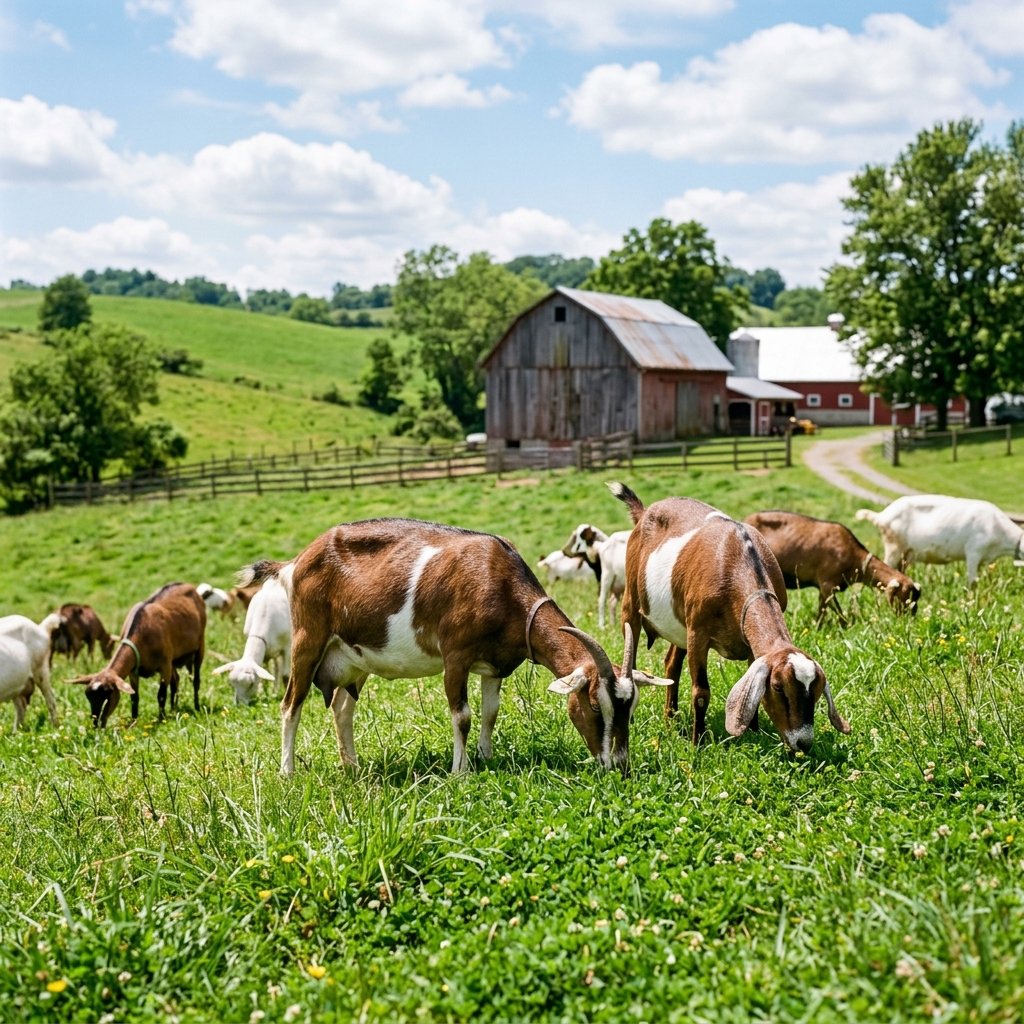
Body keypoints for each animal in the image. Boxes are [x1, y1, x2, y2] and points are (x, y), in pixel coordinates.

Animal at [69, 583, 206, 726]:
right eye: (88, 697)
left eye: (109, 695)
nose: (97, 724)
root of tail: (186, 585)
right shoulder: (134, 670)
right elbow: (134, 697)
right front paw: (133, 721)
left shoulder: (164, 665)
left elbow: (161, 695)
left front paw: (161, 719)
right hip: (173, 659)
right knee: (176, 681)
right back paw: (174, 709)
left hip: (199, 645)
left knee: (196, 680)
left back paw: (196, 706)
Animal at [241, 517, 671, 776]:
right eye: (595, 706)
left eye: (630, 707)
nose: (618, 765)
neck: (501, 584)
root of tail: (294, 562)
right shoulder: (455, 656)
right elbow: (461, 715)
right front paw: (460, 771)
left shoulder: (494, 664)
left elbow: (490, 712)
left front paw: (486, 756)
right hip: (308, 641)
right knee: (291, 704)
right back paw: (287, 771)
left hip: (353, 657)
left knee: (342, 709)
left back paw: (353, 766)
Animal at [609, 483, 850, 752]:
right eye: (779, 687)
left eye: (816, 690)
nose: (803, 742)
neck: (737, 563)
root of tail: (645, 512)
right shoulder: (698, 633)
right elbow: (701, 693)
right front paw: (698, 743)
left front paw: (754, 732)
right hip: (632, 602)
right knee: (632, 653)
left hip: (679, 626)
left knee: (671, 664)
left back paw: (670, 718)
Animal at [744, 510, 920, 624]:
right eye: (905, 597)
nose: (909, 619)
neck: (854, 556)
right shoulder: (828, 584)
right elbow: (838, 614)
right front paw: (845, 628)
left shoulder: (823, 589)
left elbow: (822, 611)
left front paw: (817, 627)